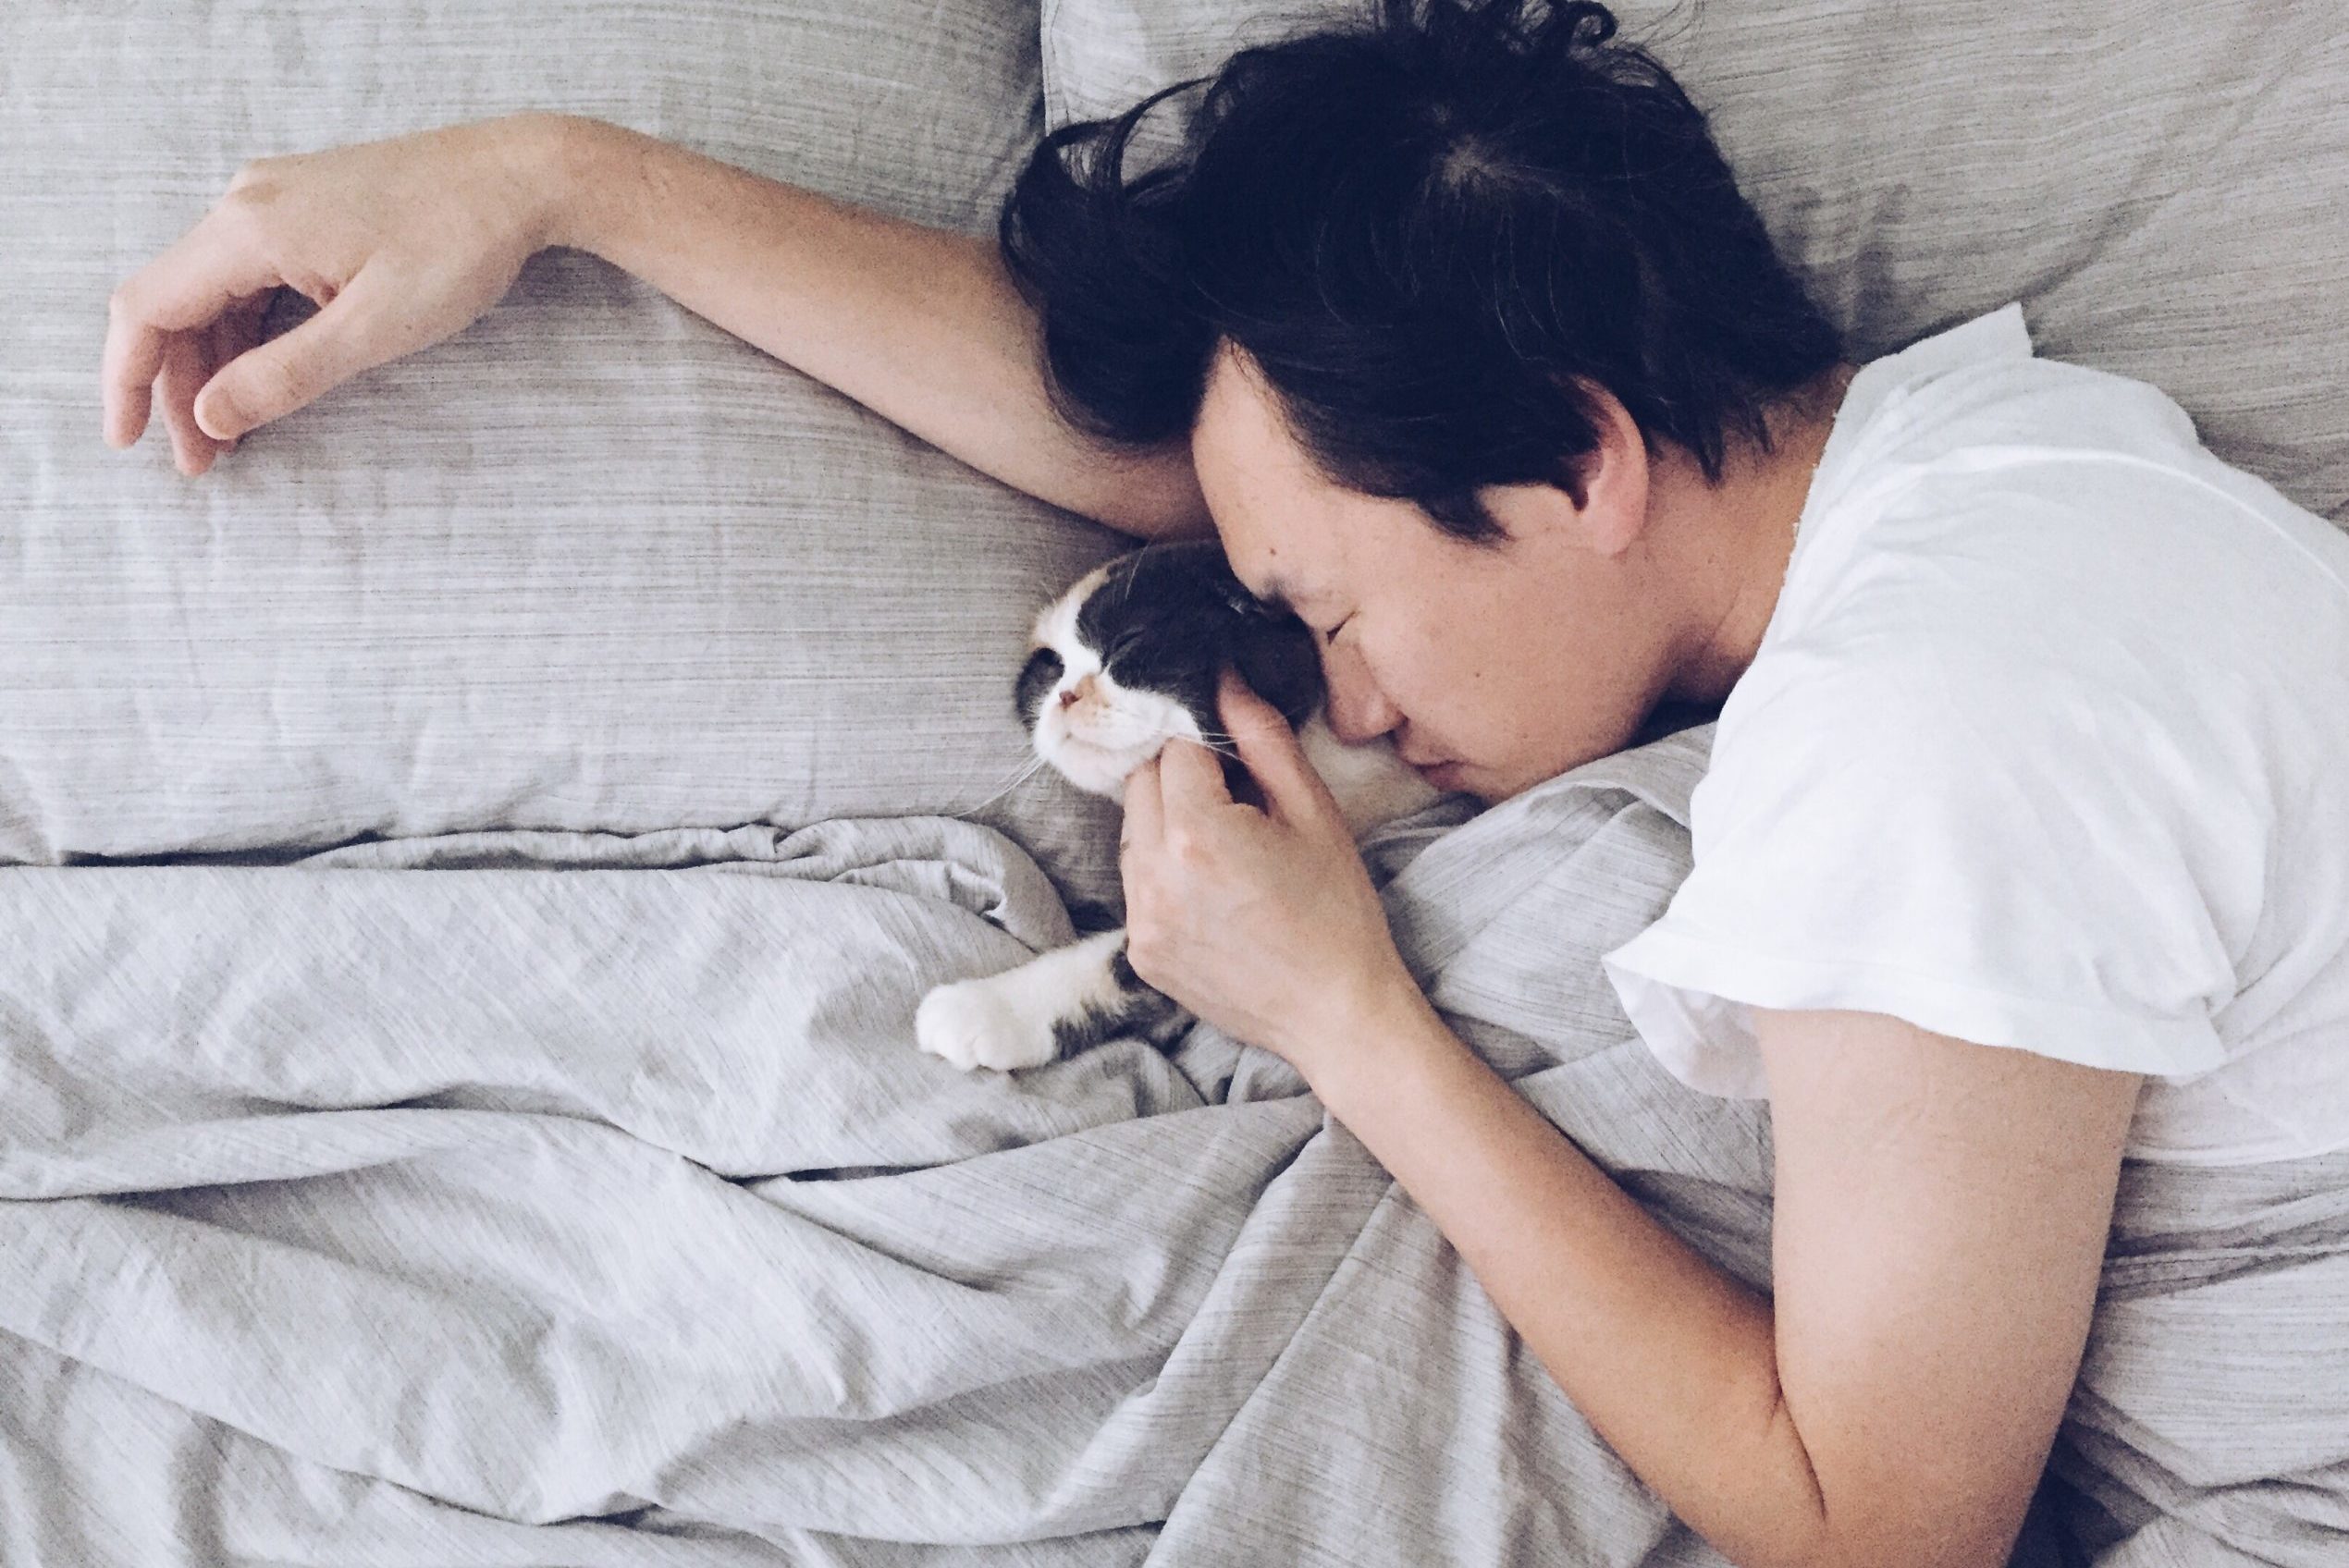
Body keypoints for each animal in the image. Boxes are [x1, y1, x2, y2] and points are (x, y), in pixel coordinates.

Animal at [911, 533, 1428, 1070]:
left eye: (1127, 642)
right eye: (1050, 670)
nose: (1065, 696)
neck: (1329, 760)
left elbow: (1135, 964)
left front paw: (984, 1007)